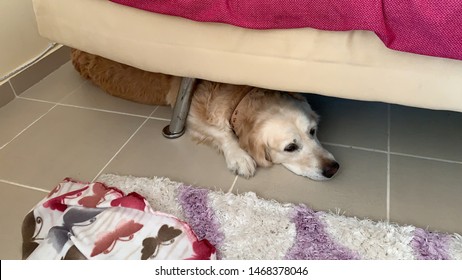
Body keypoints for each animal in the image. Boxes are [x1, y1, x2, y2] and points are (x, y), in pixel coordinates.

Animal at [72, 49, 340, 180]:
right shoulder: (187, 110)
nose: (333, 168)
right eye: (290, 148)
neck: (241, 96)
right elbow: (222, 133)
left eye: (313, 132)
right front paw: (239, 157)